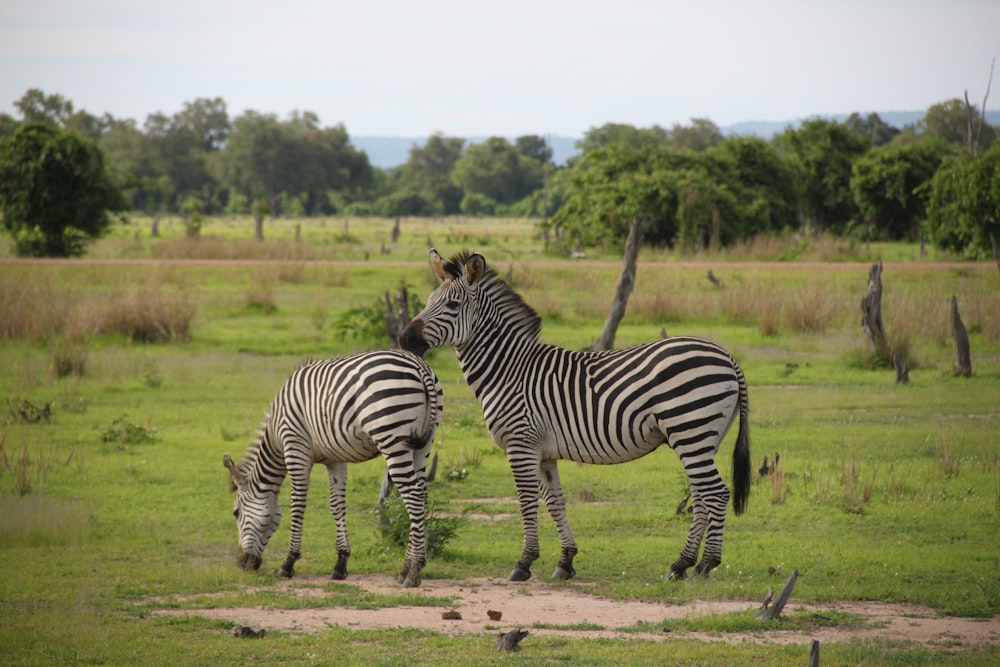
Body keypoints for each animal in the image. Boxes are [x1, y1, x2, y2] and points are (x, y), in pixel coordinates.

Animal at [223, 352, 442, 588]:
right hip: (423, 444)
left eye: (236, 512)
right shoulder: (336, 459)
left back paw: (413, 572)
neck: (275, 435)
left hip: (392, 437)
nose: (241, 564)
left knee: (414, 496)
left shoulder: (295, 448)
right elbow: (337, 506)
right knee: (423, 494)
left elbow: (298, 504)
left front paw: (288, 562)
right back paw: (408, 568)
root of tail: (420, 366)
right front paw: (340, 564)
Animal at [398, 252, 752, 584]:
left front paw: (523, 563)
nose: (404, 339)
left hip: (689, 431)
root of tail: (727, 356)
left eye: (453, 304)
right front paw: (565, 561)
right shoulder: (544, 453)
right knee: (702, 495)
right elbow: (554, 502)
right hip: (703, 438)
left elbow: (527, 502)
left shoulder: (521, 444)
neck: (508, 369)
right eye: (428, 301)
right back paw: (680, 566)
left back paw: (704, 565)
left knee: (716, 493)